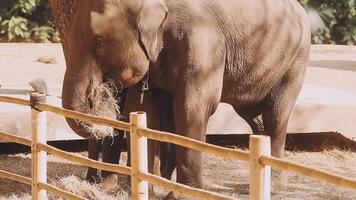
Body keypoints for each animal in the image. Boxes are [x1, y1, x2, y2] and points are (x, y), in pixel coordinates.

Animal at [57, 0, 308, 198]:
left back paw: (274, 188)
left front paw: (181, 195)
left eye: (98, 41)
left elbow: (193, 108)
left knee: (275, 116)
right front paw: (147, 190)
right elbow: (144, 109)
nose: (98, 96)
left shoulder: (202, 42)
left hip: (295, 62)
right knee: (255, 118)